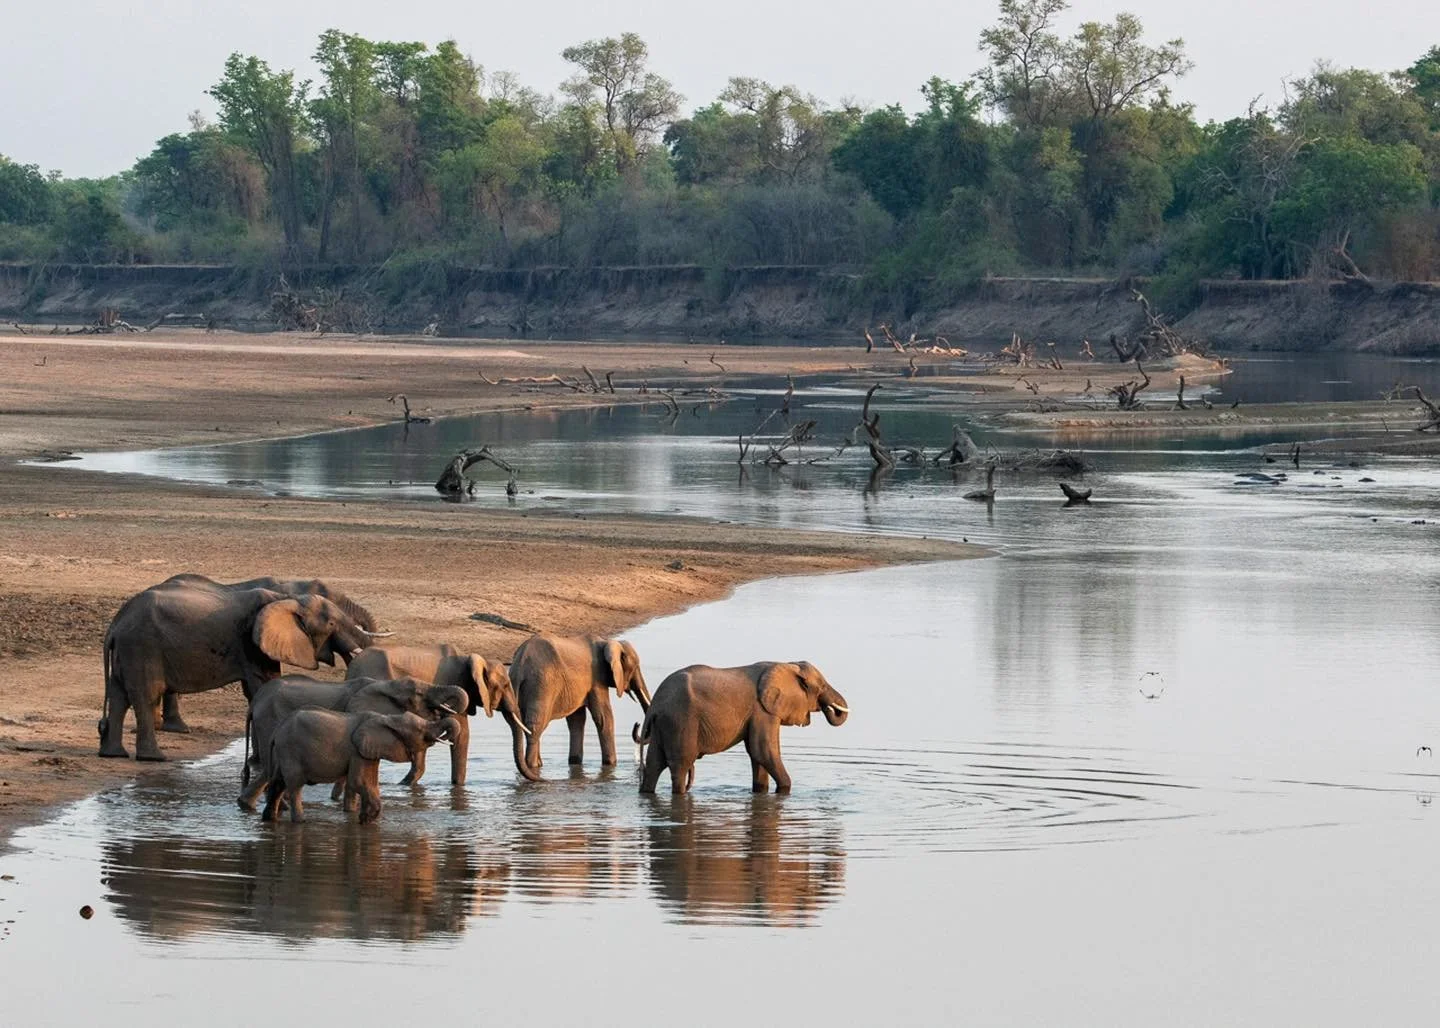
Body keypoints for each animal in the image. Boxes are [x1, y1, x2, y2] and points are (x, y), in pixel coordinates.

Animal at [100, 574, 380, 761]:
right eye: (331, 624)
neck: (287, 597)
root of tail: (115, 625)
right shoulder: (251, 642)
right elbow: (263, 684)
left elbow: (254, 692)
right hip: (142, 646)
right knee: (144, 695)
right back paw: (154, 758)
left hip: (129, 650)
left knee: (118, 696)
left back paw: (114, 754)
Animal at [237, 675, 468, 811]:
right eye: (418, 695)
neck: (386, 684)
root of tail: (254, 702)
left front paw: (338, 800)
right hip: (270, 721)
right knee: (270, 767)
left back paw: (249, 805)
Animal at [262, 709, 461, 824]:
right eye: (421, 732)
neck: (387, 718)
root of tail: (276, 731)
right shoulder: (357, 750)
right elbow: (358, 782)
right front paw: (368, 819)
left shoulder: (369, 751)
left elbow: (366, 783)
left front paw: (363, 817)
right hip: (291, 750)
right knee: (294, 786)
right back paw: (300, 822)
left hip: (283, 753)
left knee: (277, 784)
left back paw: (268, 820)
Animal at [508, 633, 651, 780]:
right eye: (635, 667)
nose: (637, 724)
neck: (608, 642)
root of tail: (519, 666)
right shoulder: (596, 678)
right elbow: (604, 717)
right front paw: (611, 765)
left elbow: (577, 720)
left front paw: (575, 763)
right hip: (541, 686)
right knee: (535, 726)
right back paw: (533, 766)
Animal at [635, 661, 849, 795]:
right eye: (821, 687)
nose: (831, 708)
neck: (786, 664)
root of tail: (655, 705)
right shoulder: (762, 710)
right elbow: (763, 750)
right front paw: (785, 791)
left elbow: (757, 755)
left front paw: (761, 792)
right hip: (680, 720)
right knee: (680, 766)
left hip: (663, 725)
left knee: (654, 764)